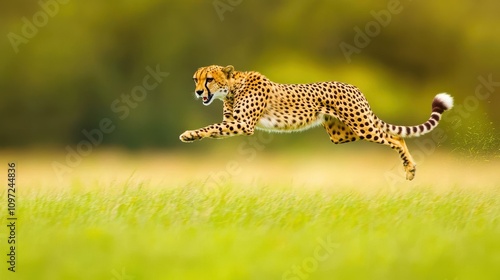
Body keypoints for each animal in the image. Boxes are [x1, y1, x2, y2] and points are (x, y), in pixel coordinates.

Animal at [180, 64, 454, 180]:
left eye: (209, 79)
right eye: (196, 79)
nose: (197, 92)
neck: (232, 87)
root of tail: (354, 87)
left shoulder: (243, 124)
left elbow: (210, 127)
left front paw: (188, 134)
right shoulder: (233, 122)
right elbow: (214, 129)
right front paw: (192, 136)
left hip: (364, 126)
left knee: (395, 137)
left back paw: (410, 169)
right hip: (342, 134)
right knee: (393, 135)